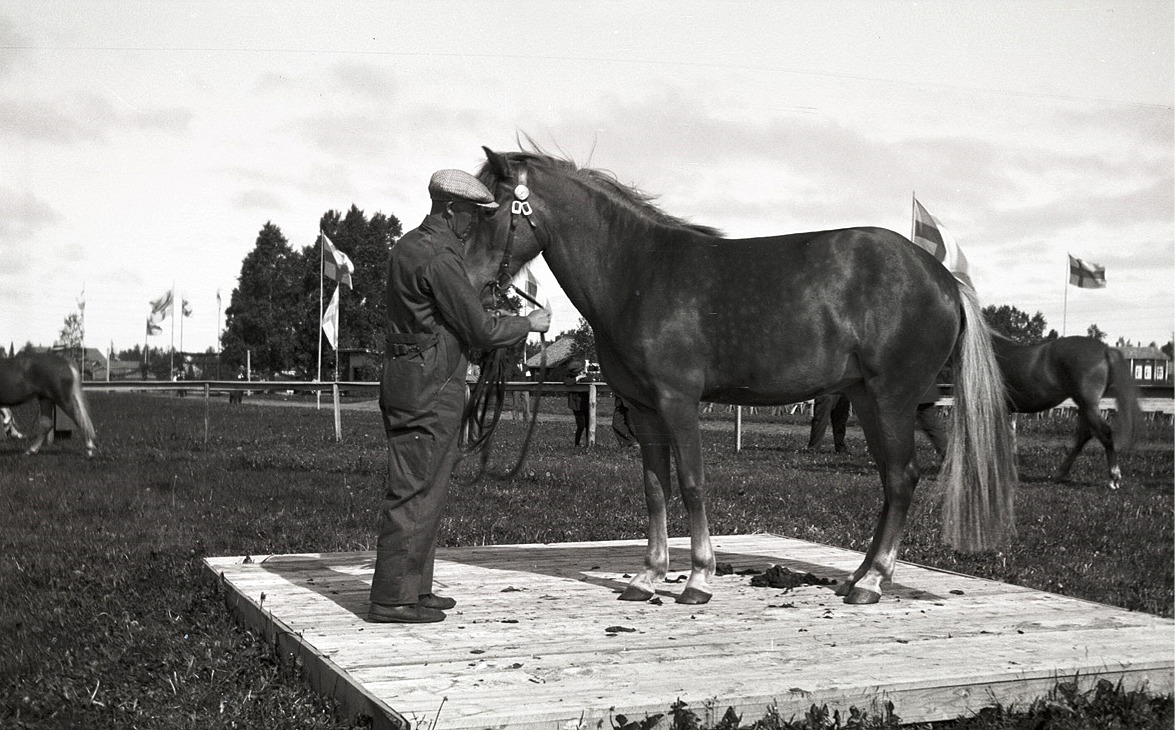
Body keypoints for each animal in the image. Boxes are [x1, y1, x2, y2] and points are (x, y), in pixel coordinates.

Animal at [467, 148, 1019, 601]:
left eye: (489, 210)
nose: (472, 282)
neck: (638, 273)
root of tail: (943, 278)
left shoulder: (677, 401)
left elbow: (691, 482)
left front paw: (698, 578)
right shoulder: (642, 409)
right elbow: (653, 488)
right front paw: (648, 577)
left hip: (893, 399)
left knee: (902, 479)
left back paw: (873, 583)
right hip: (866, 398)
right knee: (891, 480)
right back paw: (857, 578)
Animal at [996, 333, 1142, 486]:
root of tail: (1105, 350)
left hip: (1089, 405)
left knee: (1104, 432)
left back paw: (1114, 476)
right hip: (1084, 406)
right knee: (1084, 435)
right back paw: (1060, 473)